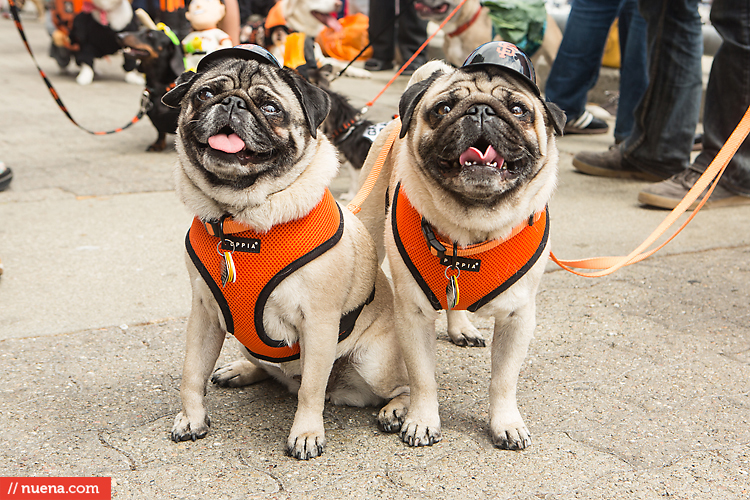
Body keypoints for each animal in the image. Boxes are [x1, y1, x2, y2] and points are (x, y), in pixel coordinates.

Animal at [162, 45, 412, 458]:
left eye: (270, 108)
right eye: (205, 94)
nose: (232, 103)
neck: (240, 221)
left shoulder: (320, 322)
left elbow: (311, 389)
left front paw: (306, 433)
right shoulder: (204, 316)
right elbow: (191, 373)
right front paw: (191, 418)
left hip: (372, 363)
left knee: (397, 385)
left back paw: (397, 410)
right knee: (268, 368)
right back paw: (240, 369)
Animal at [356, 44, 564, 450]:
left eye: (519, 110)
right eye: (443, 108)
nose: (481, 110)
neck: (470, 228)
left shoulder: (518, 317)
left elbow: (504, 380)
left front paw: (506, 423)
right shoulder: (414, 315)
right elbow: (422, 376)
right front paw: (422, 420)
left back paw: (461, 328)